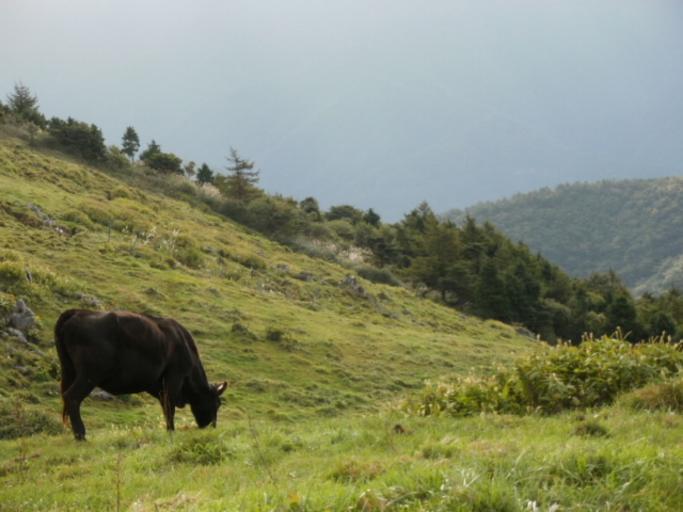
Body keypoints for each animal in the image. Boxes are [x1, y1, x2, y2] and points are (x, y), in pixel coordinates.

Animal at [54, 309, 227, 440]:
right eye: (217, 403)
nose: (212, 426)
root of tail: (79, 312)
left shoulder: (156, 385)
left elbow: (165, 405)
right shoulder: (174, 377)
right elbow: (169, 406)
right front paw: (171, 431)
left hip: (70, 371)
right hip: (89, 375)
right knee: (72, 397)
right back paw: (81, 435)